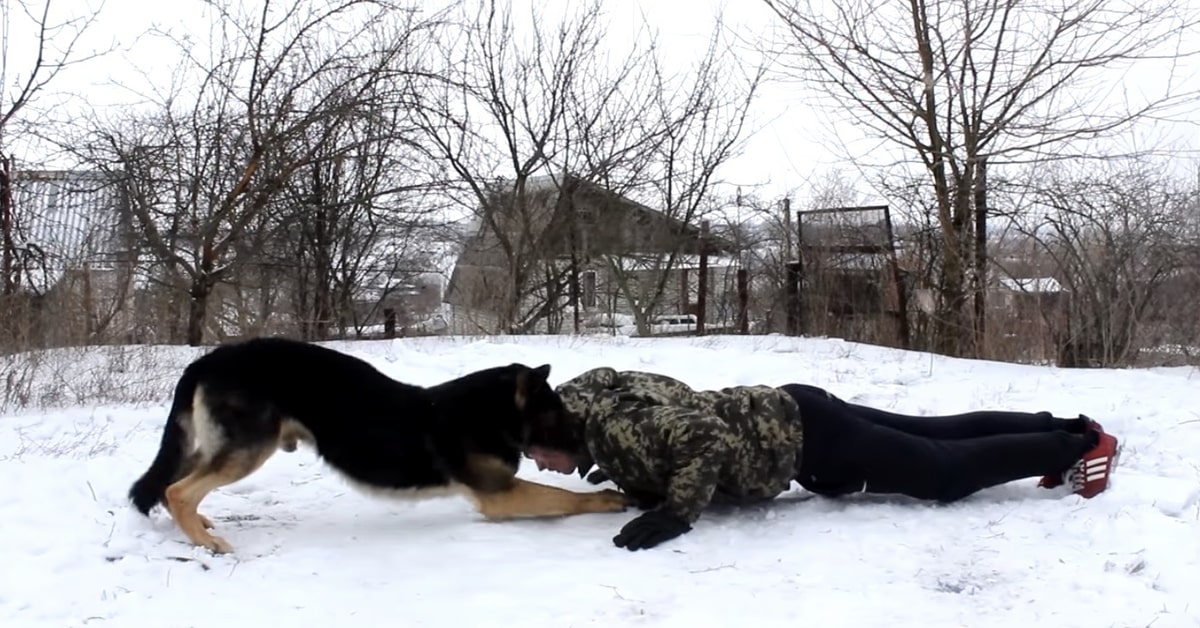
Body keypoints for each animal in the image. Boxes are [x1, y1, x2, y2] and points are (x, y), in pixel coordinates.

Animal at [129, 338, 628, 554]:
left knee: (174, 485)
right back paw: (209, 543)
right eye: (558, 415)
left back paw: (199, 525)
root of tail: (206, 359)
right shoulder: (500, 495)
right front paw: (607, 499)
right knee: (178, 490)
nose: (587, 451)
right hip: (249, 447)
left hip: (219, 445)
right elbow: (565, 498)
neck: (490, 412)